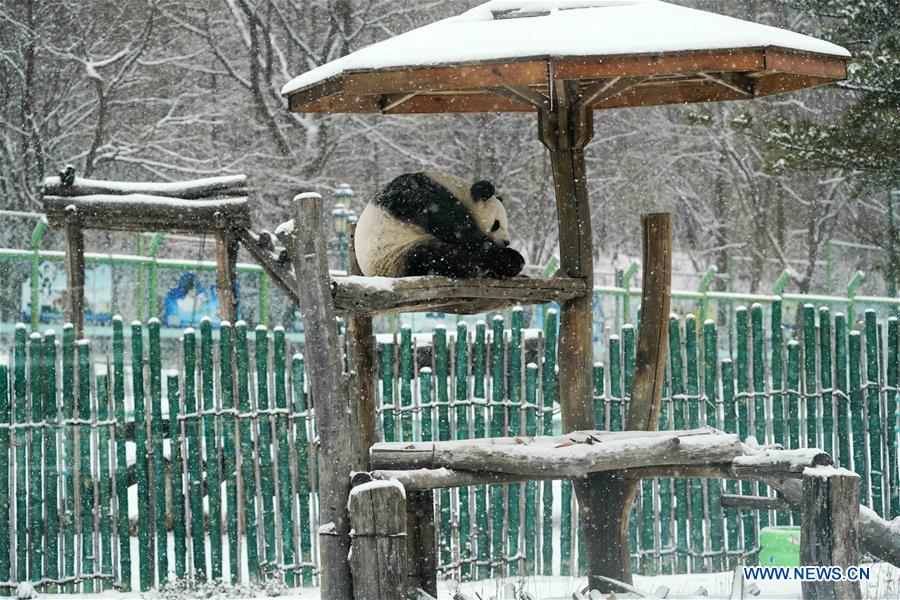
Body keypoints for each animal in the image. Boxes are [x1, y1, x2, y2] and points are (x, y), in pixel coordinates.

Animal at [354, 171, 524, 278]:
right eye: (496, 224)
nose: (506, 242)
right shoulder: (421, 197)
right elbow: (457, 229)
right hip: (396, 254)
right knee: (440, 257)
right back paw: (511, 262)